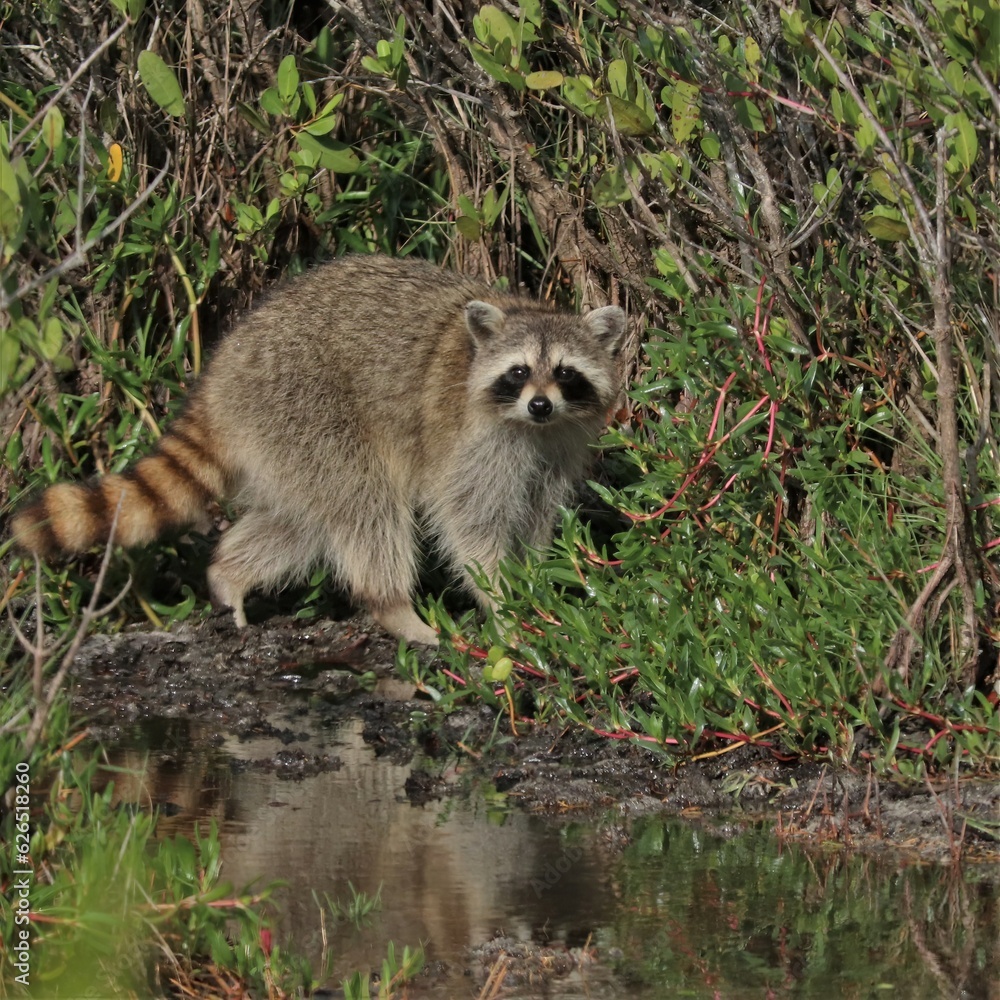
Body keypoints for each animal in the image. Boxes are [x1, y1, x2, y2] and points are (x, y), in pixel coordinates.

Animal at [11, 256, 626, 644]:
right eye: (518, 372)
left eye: (565, 374)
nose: (539, 405)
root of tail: (222, 372)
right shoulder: (472, 442)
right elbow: (470, 522)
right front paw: (501, 601)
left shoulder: (560, 443)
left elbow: (537, 511)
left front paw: (537, 578)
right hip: (306, 405)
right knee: (365, 506)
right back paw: (393, 606)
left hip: (284, 434)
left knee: (302, 521)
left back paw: (230, 572)